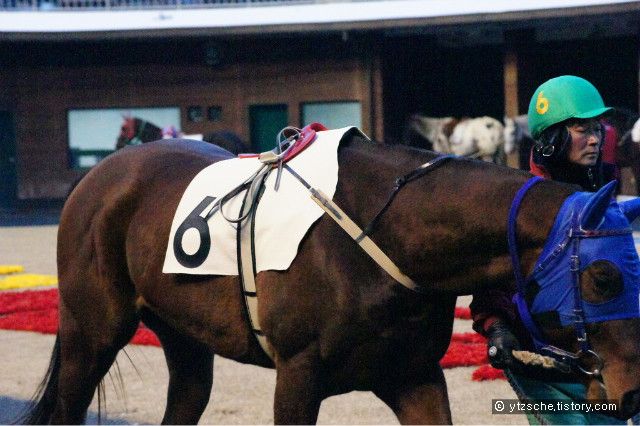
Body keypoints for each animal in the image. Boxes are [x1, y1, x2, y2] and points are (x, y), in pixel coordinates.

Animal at [22, 132, 640, 424]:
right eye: (604, 278)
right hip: (91, 332)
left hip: (184, 336)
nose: (631, 394)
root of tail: (101, 173)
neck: (381, 233)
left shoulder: (412, 375)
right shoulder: (297, 375)